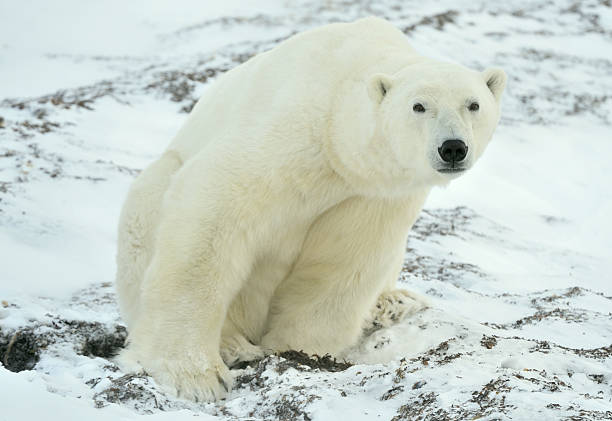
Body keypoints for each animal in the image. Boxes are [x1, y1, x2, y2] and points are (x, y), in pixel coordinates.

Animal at [116, 17, 506, 400]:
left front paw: (297, 348)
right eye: (419, 106)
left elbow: (344, 259)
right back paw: (234, 344)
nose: (452, 147)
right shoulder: (291, 133)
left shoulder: (371, 195)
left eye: (473, 104)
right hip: (158, 187)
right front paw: (196, 377)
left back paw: (394, 302)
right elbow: (213, 211)